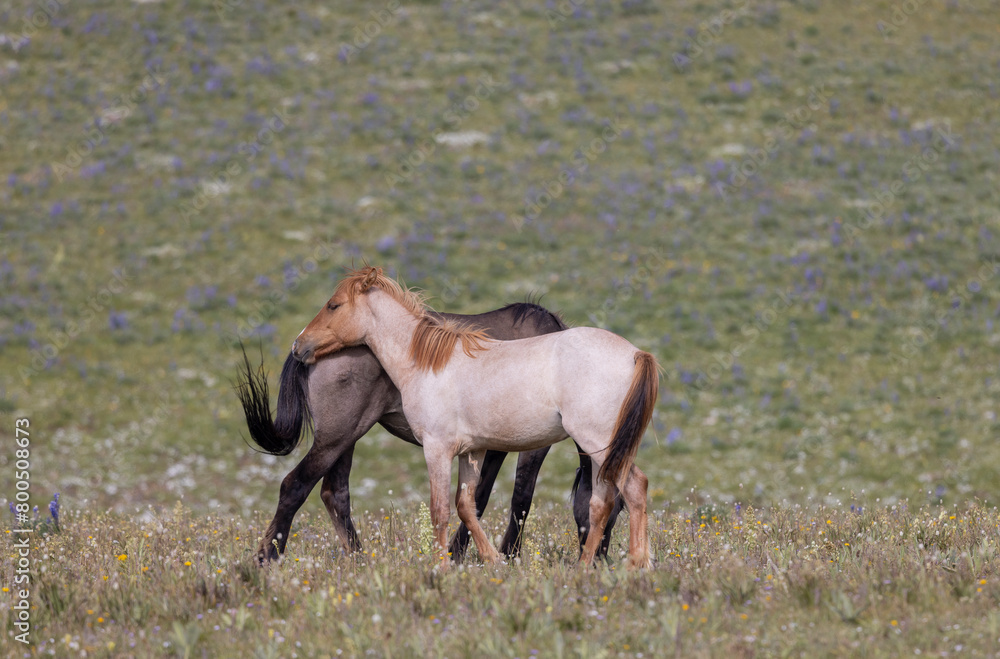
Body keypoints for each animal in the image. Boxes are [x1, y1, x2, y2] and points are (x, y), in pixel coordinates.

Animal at [236, 303, 623, 564]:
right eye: (617, 507)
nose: (601, 561)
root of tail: (308, 347)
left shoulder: (491, 445)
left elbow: (479, 498)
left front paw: (461, 553)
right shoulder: (530, 446)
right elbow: (519, 499)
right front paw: (503, 555)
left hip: (346, 437)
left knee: (335, 494)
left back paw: (359, 560)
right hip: (338, 436)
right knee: (295, 486)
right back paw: (266, 559)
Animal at [291, 266, 658, 569]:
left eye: (334, 305)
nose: (298, 345)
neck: (429, 363)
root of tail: (635, 354)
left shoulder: (438, 448)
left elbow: (441, 509)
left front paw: (441, 566)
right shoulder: (473, 451)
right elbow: (467, 504)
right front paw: (491, 559)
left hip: (599, 444)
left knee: (630, 489)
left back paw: (632, 564)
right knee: (605, 500)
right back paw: (594, 566)